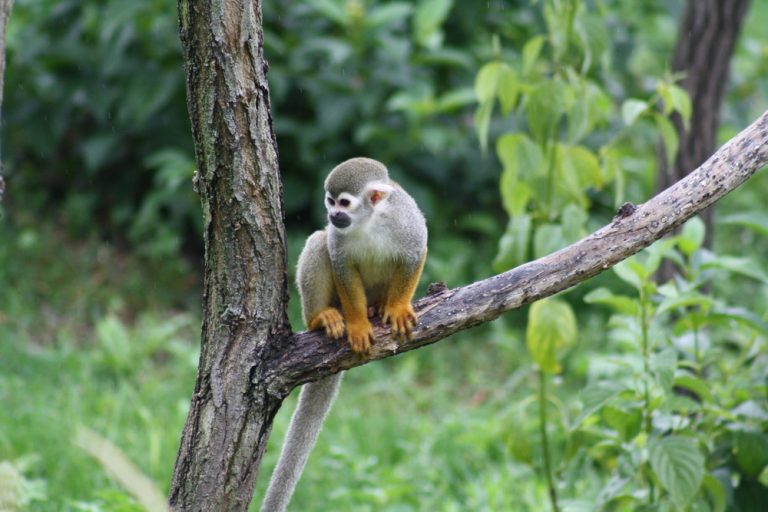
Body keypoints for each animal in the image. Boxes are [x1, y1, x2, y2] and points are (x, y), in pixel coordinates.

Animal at [261, 157, 427, 512]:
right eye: (330, 200)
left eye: (345, 203)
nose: (333, 215)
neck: (369, 220)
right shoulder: (340, 241)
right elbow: (341, 264)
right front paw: (358, 325)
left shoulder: (404, 219)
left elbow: (414, 252)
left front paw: (398, 307)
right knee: (318, 241)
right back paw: (321, 318)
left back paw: (379, 307)